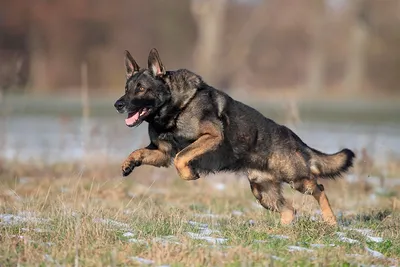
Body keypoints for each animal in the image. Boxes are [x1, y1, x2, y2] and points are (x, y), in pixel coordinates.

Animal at [114, 47, 354, 226]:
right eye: (126, 88)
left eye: (141, 88)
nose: (118, 104)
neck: (173, 109)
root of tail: (294, 138)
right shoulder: (162, 153)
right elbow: (140, 152)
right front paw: (128, 164)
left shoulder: (211, 137)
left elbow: (181, 157)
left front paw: (189, 174)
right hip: (262, 192)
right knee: (289, 210)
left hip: (297, 180)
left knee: (319, 189)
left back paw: (331, 221)